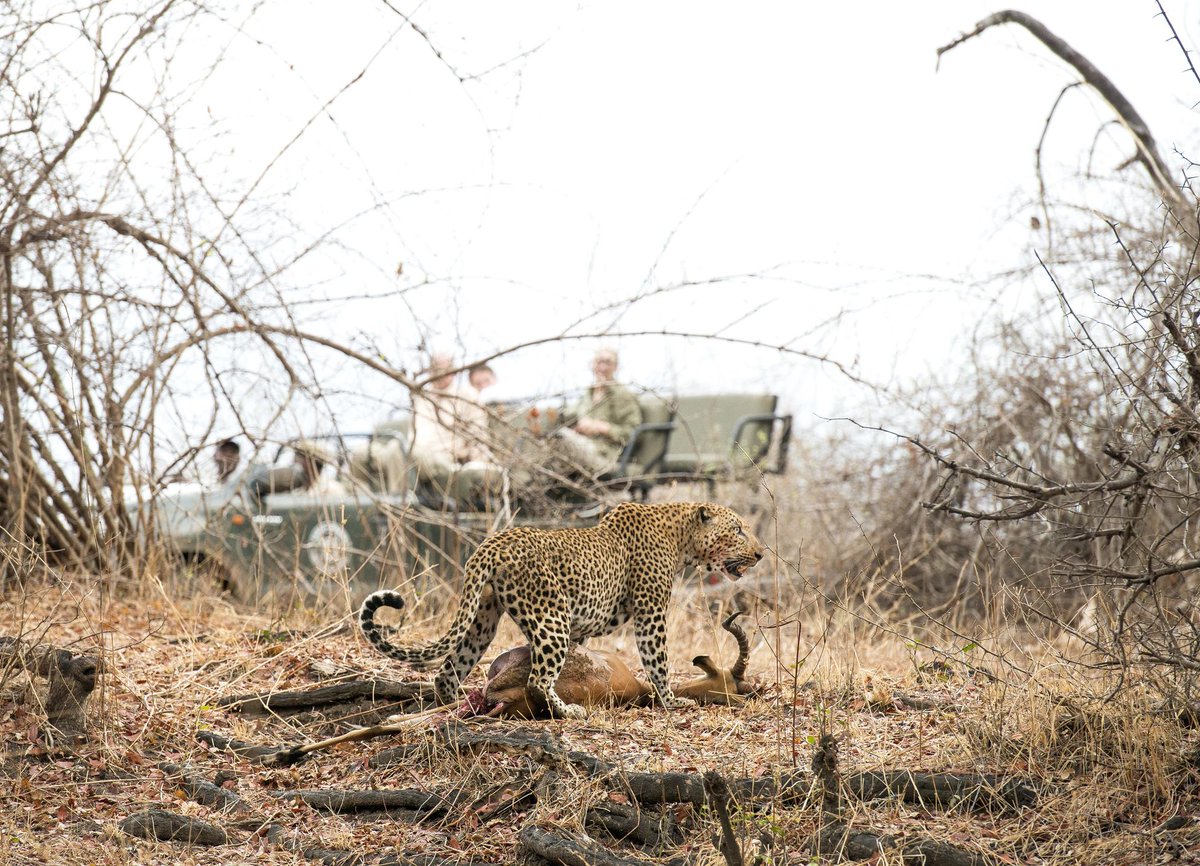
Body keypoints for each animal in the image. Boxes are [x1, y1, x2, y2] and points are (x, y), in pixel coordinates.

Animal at [358, 501, 765, 719]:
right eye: (739, 530)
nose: (761, 553)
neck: (682, 538)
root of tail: (491, 544)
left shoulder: (581, 629)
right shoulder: (650, 611)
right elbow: (658, 661)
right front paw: (671, 702)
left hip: (482, 618)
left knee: (447, 672)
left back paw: (456, 706)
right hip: (549, 617)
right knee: (538, 680)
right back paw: (568, 712)